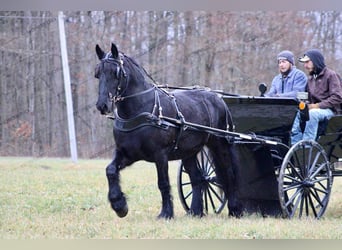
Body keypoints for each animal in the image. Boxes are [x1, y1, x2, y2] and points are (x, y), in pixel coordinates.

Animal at [95, 43, 242, 219]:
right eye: (98, 73)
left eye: (116, 72)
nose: (102, 105)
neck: (141, 110)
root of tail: (218, 98)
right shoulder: (127, 153)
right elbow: (110, 170)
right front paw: (119, 205)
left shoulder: (160, 154)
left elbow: (163, 183)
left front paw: (166, 213)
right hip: (189, 152)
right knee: (198, 178)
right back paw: (195, 212)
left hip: (220, 144)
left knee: (229, 174)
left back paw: (234, 209)